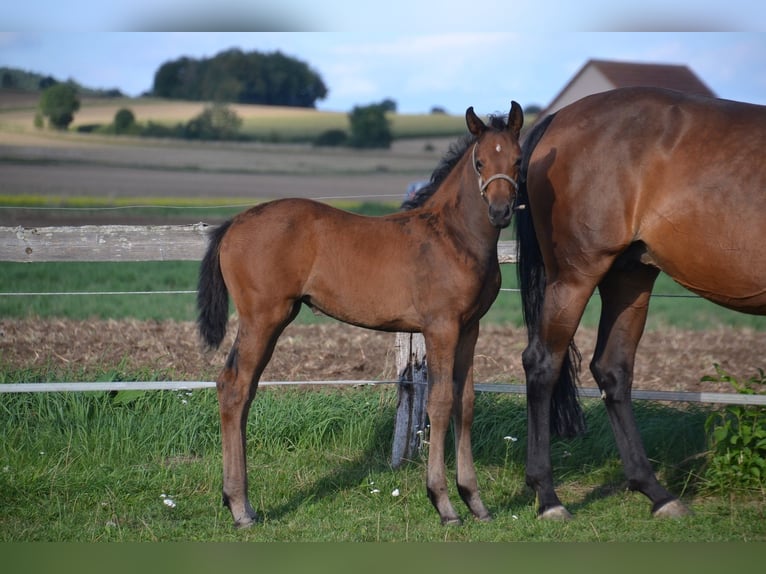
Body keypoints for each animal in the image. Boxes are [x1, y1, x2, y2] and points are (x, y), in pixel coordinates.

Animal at [197, 102, 524, 527]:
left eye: (517, 160)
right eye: (480, 162)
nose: (500, 212)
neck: (452, 237)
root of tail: (234, 223)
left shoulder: (470, 328)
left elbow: (464, 403)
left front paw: (475, 501)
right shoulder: (441, 328)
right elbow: (439, 403)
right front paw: (444, 503)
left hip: (271, 321)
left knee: (243, 389)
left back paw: (243, 503)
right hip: (263, 318)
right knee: (233, 387)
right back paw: (239, 507)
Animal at [516, 86, 766, 520]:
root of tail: (558, 118)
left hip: (630, 277)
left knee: (612, 369)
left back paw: (657, 493)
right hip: (576, 275)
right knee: (543, 364)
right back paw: (548, 498)